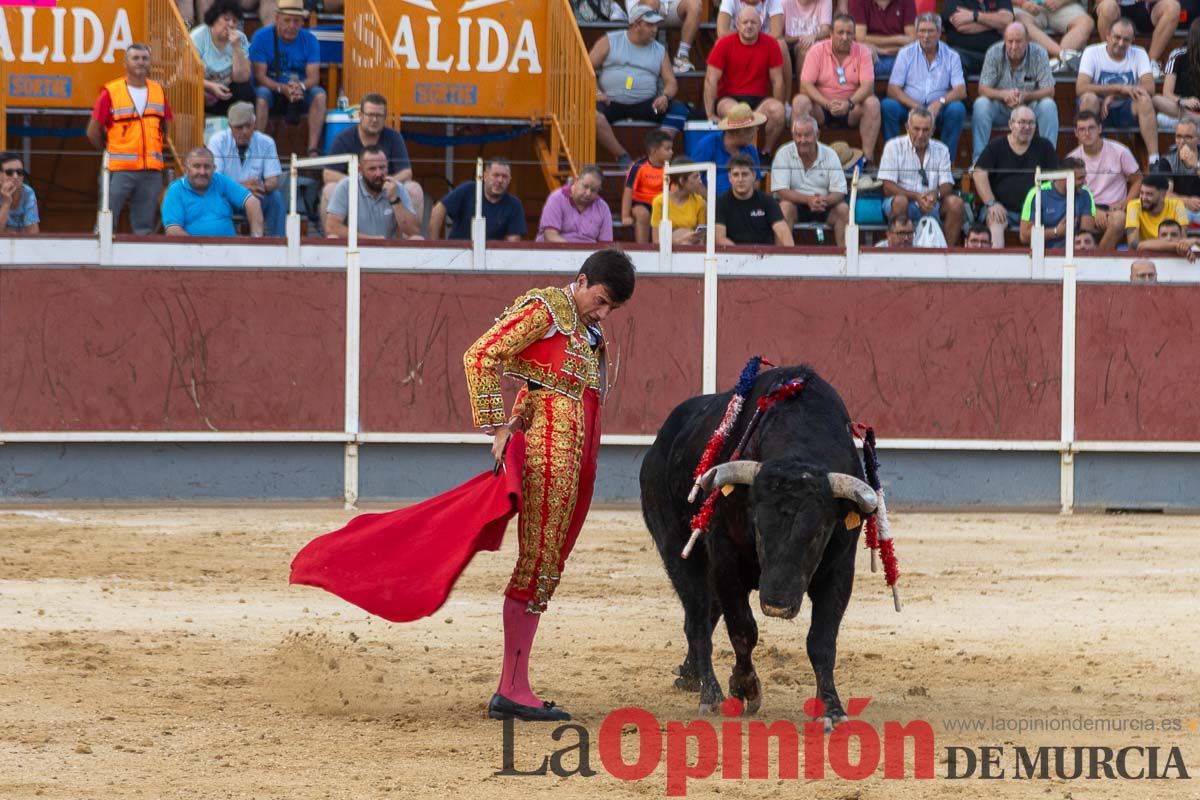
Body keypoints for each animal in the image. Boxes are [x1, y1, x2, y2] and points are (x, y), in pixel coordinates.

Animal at [638, 367, 883, 724]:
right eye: (757, 526)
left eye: (819, 532)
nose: (778, 605)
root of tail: (659, 444)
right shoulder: (725, 561)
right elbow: (743, 628)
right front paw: (745, 688)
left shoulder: (840, 569)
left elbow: (822, 640)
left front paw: (831, 707)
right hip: (677, 549)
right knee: (697, 618)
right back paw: (709, 692)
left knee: (706, 616)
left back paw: (690, 675)